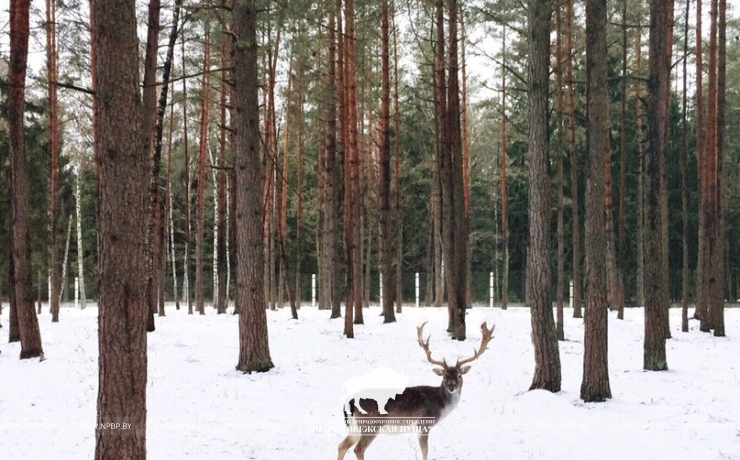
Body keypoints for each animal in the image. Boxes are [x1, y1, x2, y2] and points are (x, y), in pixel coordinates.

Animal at [338, 320, 494, 460]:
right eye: (444, 376)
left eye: (459, 375)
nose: (451, 387)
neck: (441, 405)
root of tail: (349, 402)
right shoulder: (424, 423)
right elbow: (425, 452)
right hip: (370, 424)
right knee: (358, 449)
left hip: (354, 427)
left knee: (342, 445)